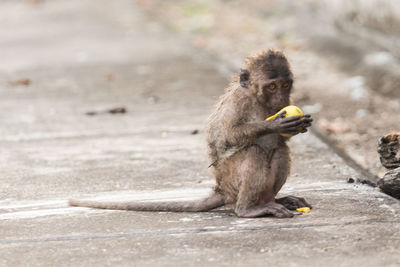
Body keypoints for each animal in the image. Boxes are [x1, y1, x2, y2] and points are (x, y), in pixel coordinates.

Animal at [69, 49, 312, 219]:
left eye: (285, 85)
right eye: (272, 87)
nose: (281, 99)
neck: (257, 98)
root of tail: (222, 189)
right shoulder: (239, 101)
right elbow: (227, 136)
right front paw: (276, 125)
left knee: (280, 150)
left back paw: (274, 200)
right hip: (231, 179)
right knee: (253, 151)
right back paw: (247, 209)